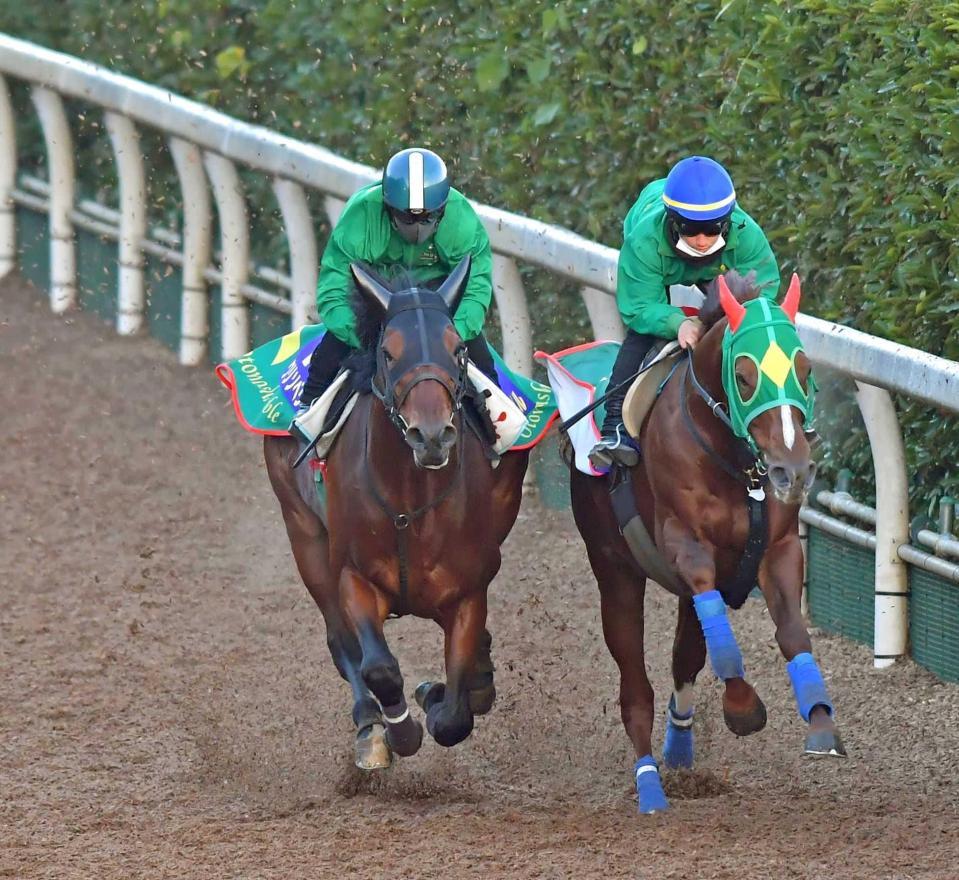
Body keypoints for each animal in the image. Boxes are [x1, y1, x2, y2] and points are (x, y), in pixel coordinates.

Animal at [266, 258, 528, 768]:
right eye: (388, 353)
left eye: (458, 349)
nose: (432, 435)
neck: (410, 503)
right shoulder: (354, 575)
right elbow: (379, 668)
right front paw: (400, 731)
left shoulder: (468, 590)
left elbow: (454, 716)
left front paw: (440, 692)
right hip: (303, 533)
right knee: (342, 643)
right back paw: (370, 726)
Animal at [568, 268, 848, 812]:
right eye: (744, 375)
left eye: (804, 369)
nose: (792, 470)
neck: (739, 466)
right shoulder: (689, 548)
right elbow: (724, 650)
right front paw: (743, 709)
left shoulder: (779, 549)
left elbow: (791, 634)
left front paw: (822, 723)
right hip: (614, 569)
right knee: (635, 686)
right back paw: (650, 783)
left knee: (685, 655)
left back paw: (679, 748)